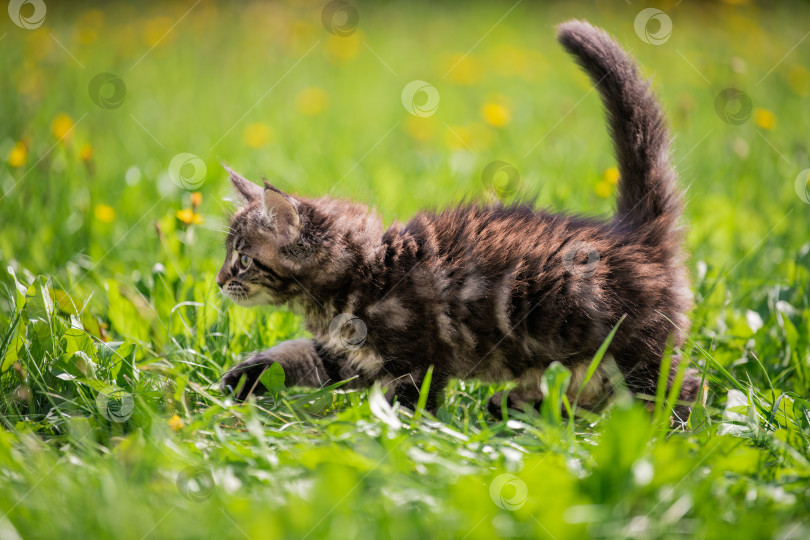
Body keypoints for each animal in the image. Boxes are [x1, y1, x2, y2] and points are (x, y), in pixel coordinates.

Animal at [218, 21, 696, 424]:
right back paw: (519, 406)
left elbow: (407, 404)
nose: (220, 281)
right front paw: (240, 376)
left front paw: (391, 434)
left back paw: (665, 432)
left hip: (629, 347)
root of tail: (636, 232)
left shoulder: (417, 358)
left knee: (679, 387)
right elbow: (293, 353)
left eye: (242, 259)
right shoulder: (347, 352)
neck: (362, 269)